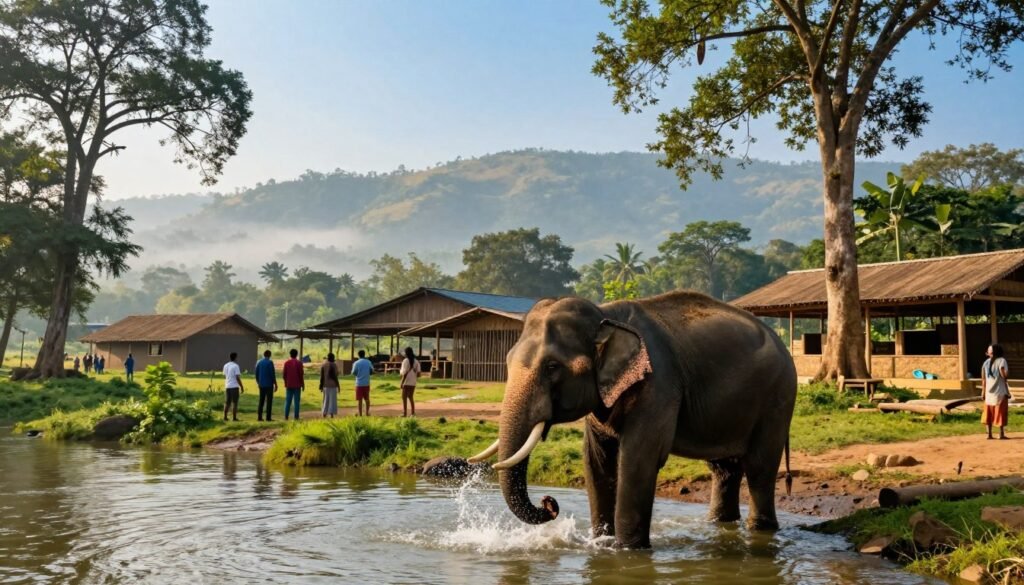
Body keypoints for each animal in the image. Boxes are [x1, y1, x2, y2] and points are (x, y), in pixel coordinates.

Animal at [469, 290, 797, 549]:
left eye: (552, 366)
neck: (605, 315)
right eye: (507, 361)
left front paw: (627, 550)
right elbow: (597, 460)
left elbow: (639, 458)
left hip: (777, 399)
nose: (549, 503)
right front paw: (601, 543)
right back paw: (719, 524)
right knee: (724, 469)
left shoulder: (658, 385)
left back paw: (760, 530)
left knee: (759, 467)